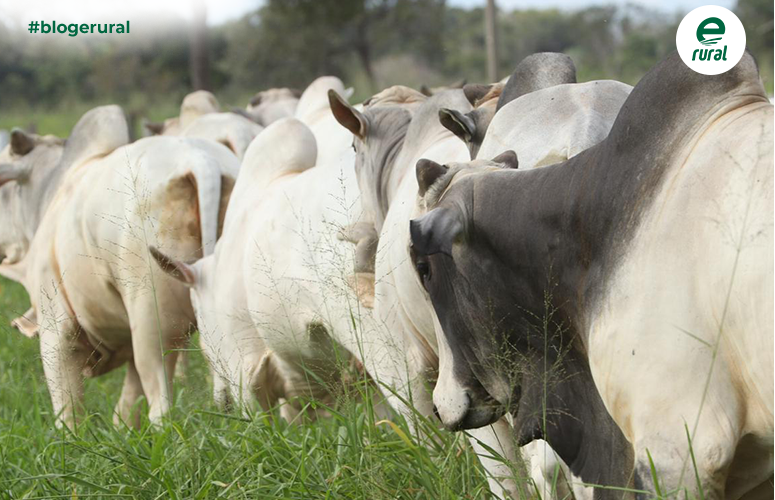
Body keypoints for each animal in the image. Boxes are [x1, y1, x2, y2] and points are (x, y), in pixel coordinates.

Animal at [0, 103, 238, 428]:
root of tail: (201, 160)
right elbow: (126, 408)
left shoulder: (56, 330)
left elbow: (68, 413)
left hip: (152, 321)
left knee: (161, 405)